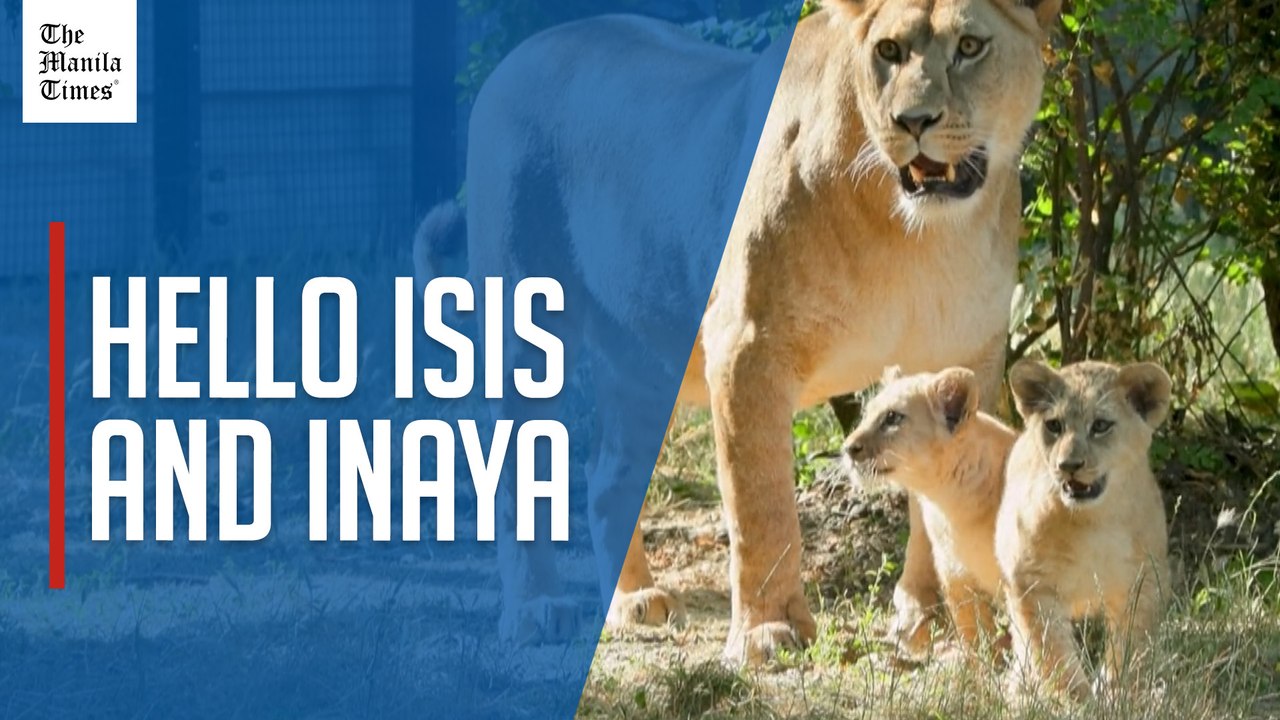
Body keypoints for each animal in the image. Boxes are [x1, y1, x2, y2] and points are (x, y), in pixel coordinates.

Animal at [842, 366, 1016, 658]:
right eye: (866, 414)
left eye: (892, 417)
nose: (848, 448)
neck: (950, 501)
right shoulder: (954, 575)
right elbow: (974, 632)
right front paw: (983, 665)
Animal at [998, 360, 1171, 699]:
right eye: (1054, 425)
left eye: (1101, 425)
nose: (1068, 465)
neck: (1094, 521)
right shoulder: (1030, 583)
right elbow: (1052, 651)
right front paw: (1078, 699)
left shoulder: (1144, 581)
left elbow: (1130, 645)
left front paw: (1117, 692)